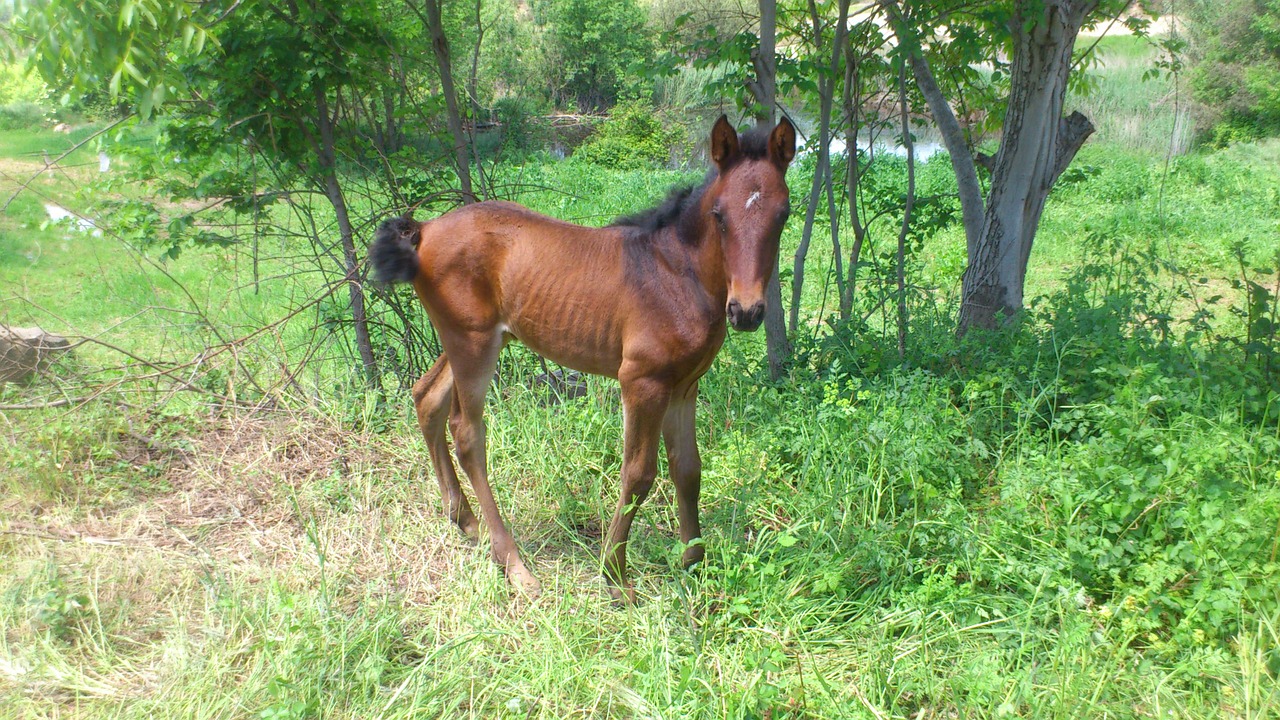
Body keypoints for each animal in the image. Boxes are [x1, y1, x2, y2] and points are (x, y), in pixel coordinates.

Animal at [366, 116, 793, 599]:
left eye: (783, 214)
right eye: (719, 215)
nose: (746, 311)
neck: (676, 272)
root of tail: (423, 231)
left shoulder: (685, 385)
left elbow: (688, 470)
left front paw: (694, 565)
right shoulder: (642, 381)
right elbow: (639, 475)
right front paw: (614, 575)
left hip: (472, 339)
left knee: (426, 397)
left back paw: (465, 521)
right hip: (472, 344)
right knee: (468, 433)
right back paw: (515, 566)